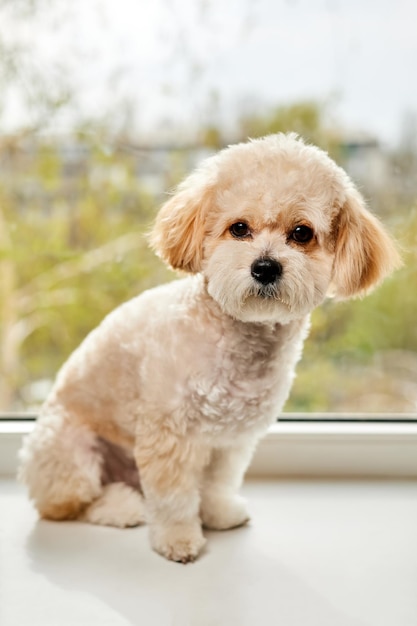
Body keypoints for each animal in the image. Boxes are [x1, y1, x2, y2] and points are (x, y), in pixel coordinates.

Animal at [19, 132, 400, 560]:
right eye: (239, 228)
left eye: (302, 233)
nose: (265, 267)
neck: (236, 340)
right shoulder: (168, 433)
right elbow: (173, 498)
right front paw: (178, 539)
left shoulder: (230, 439)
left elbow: (218, 482)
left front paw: (218, 514)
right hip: (71, 456)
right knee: (68, 505)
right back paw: (121, 507)